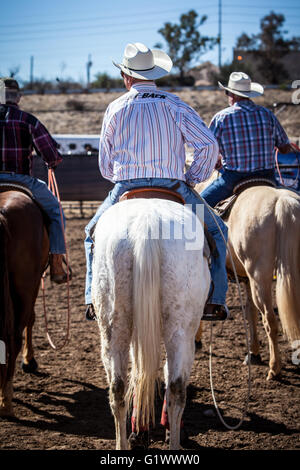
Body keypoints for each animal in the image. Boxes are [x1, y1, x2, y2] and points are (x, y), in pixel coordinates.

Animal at [91, 196, 211, 450]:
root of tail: (146, 224)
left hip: (114, 326)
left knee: (118, 387)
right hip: (181, 330)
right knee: (176, 387)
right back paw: (174, 443)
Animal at [196, 176, 300, 382]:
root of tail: (283, 202)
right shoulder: (245, 279)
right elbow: (250, 312)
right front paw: (253, 353)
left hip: (260, 277)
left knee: (269, 320)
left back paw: (274, 369)